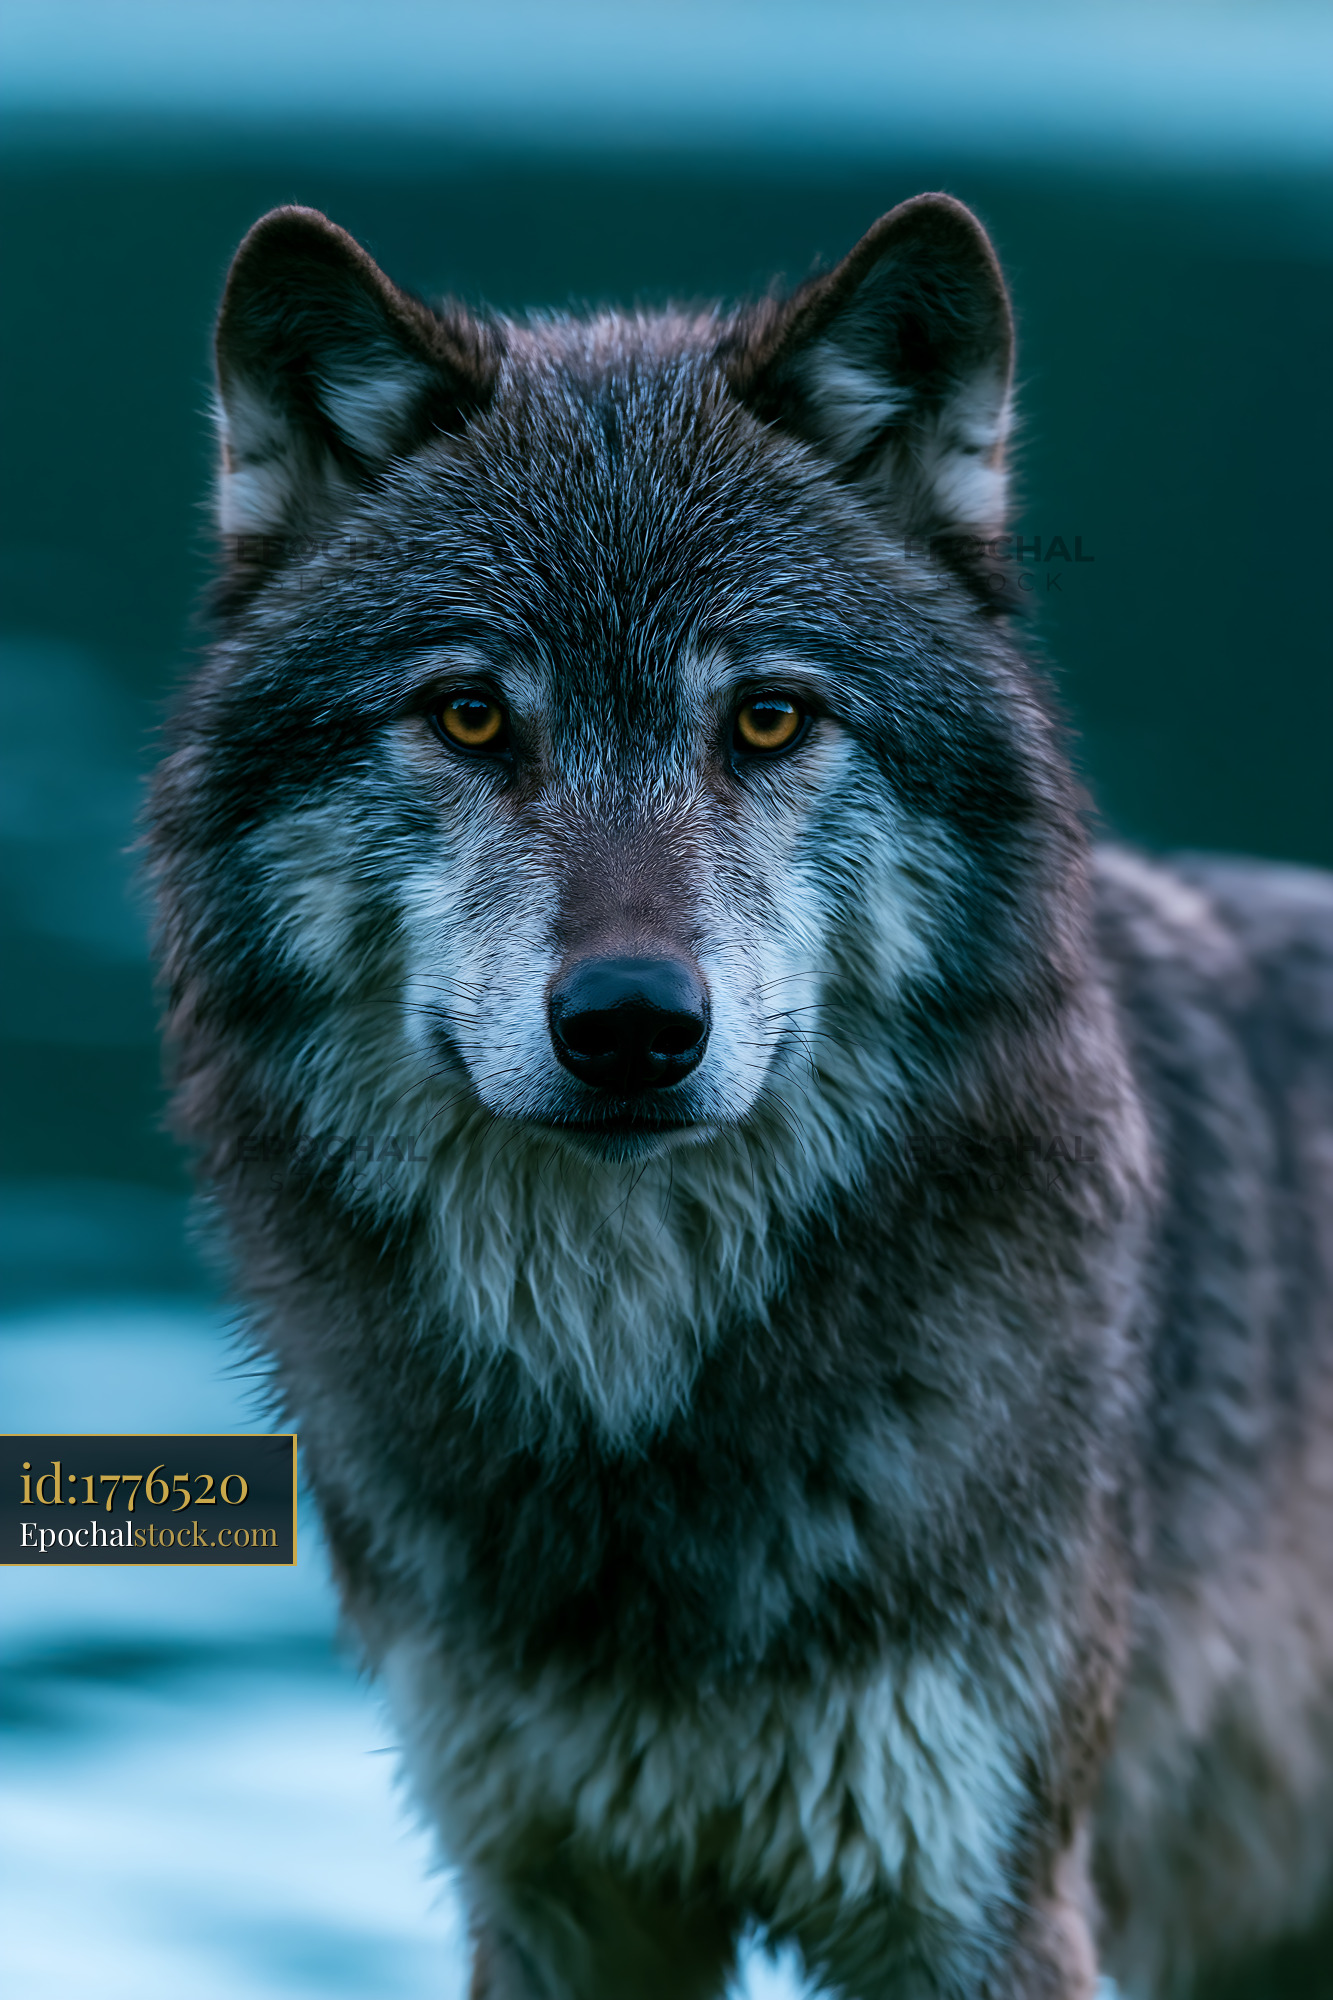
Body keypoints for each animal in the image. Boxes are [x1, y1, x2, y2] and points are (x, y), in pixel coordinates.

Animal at [148, 193, 1333, 1998]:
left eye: (767, 717)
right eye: (469, 713)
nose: (631, 1025)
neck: (634, 1399)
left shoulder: (986, 1903)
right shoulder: (557, 1895)